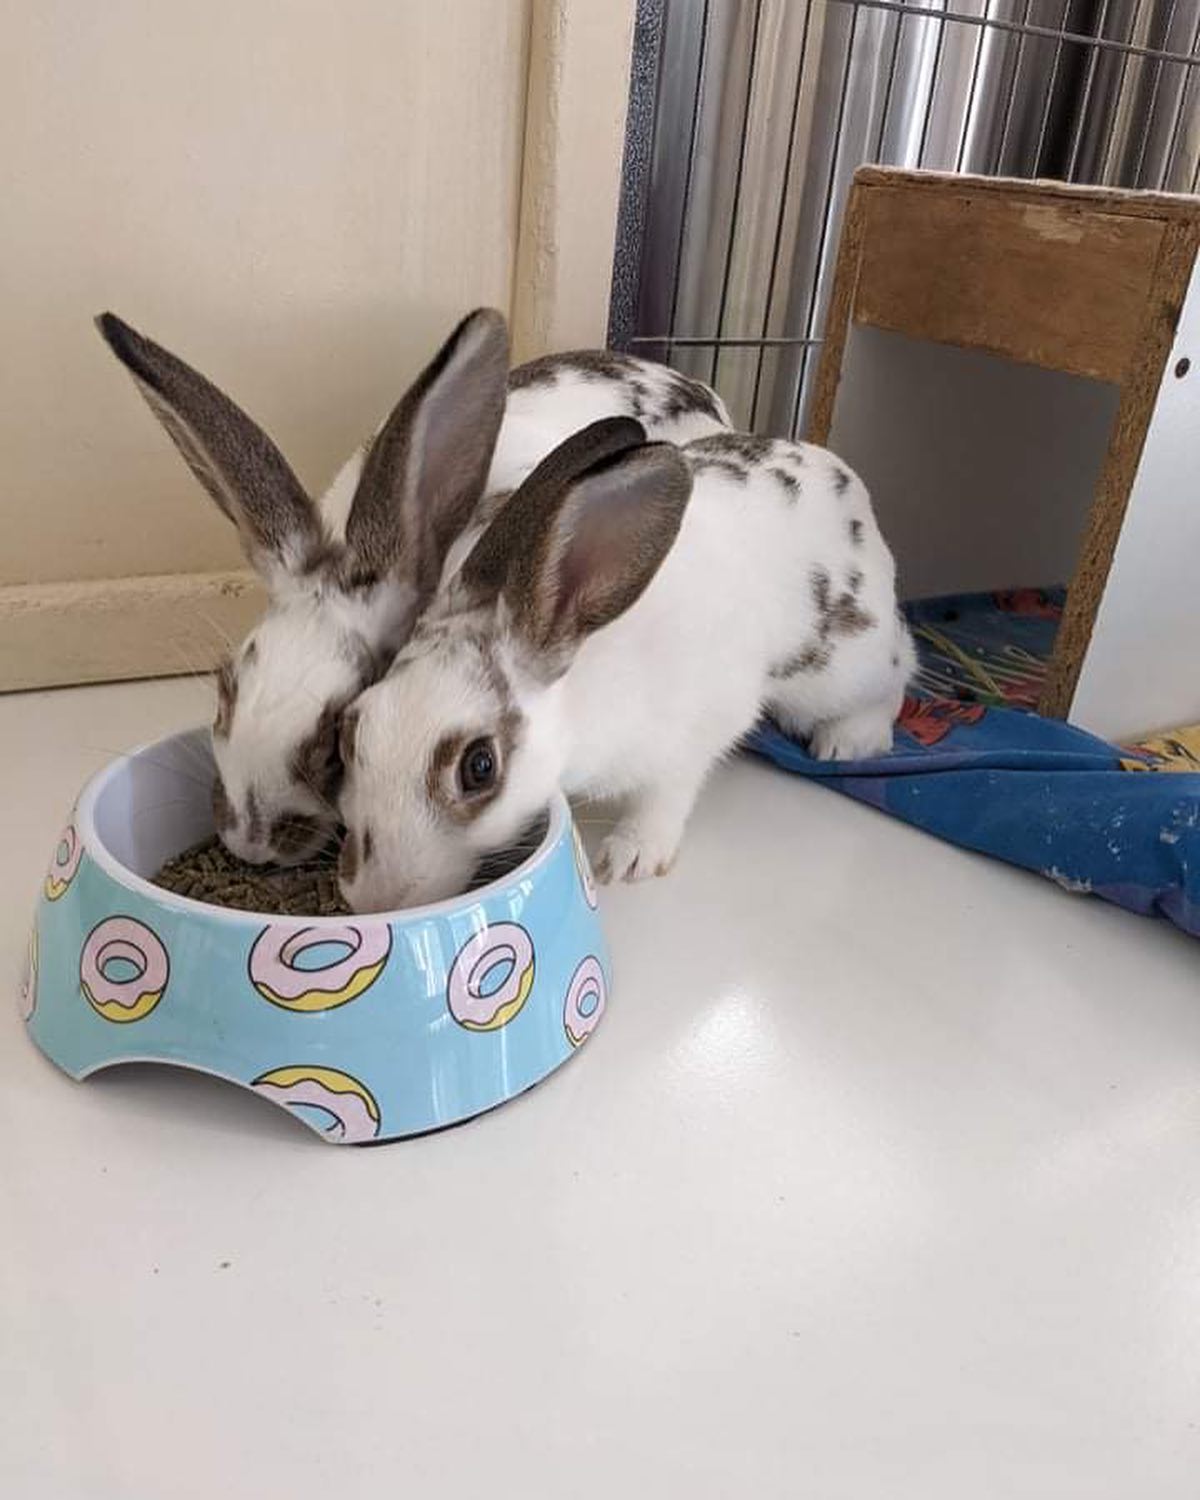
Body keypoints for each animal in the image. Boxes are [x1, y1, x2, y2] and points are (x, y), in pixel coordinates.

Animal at [336, 414, 916, 912]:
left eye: (479, 767)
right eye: (351, 730)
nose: (375, 900)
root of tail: (839, 474)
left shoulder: (693, 736)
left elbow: (666, 796)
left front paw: (630, 857)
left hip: (843, 666)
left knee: (899, 669)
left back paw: (847, 740)